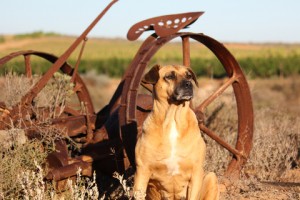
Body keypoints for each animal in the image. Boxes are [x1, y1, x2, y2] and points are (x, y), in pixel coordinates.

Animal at [134, 65, 218, 199]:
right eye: (169, 76)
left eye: (189, 76)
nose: (189, 84)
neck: (173, 120)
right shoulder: (142, 173)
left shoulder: (196, 173)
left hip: (211, 177)